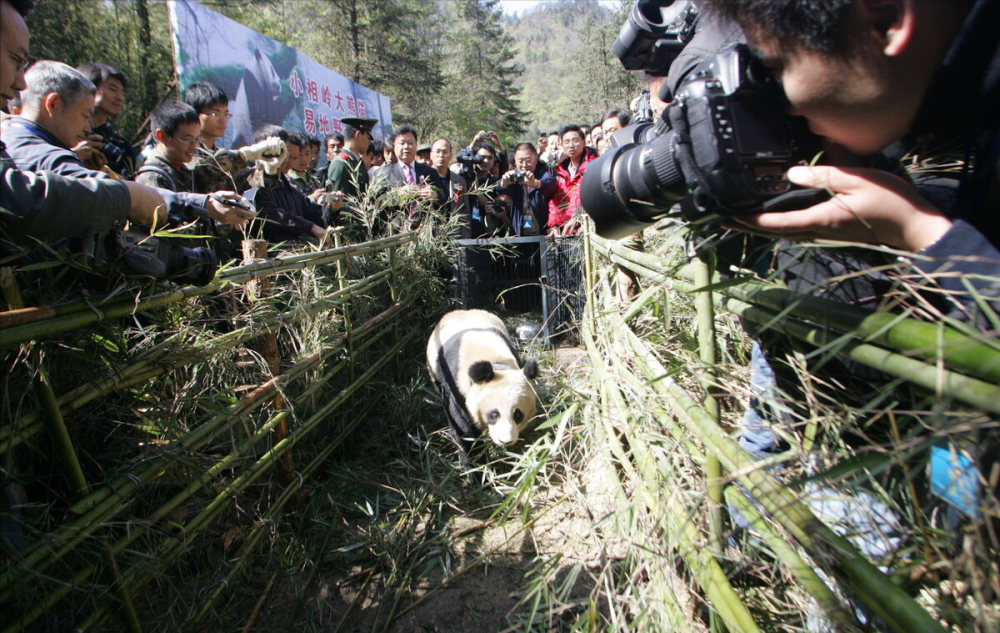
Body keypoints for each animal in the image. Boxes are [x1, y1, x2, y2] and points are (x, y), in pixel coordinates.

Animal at [428, 308, 540, 462]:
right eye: (494, 414)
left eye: (518, 415)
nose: (505, 441)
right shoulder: (456, 388)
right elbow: (464, 430)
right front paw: (476, 463)